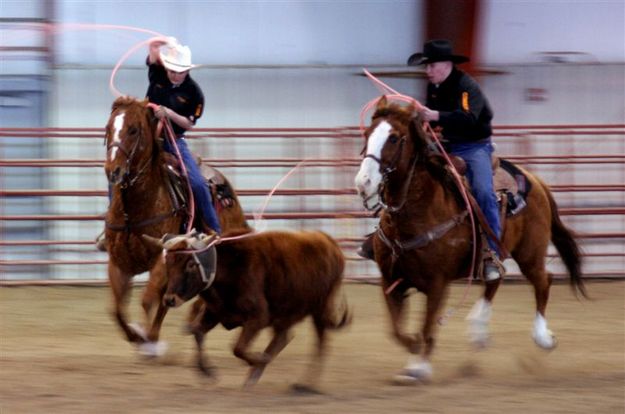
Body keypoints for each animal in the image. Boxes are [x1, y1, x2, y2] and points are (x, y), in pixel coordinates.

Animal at [103, 97, 247, 356]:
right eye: (108, 129)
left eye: (133, 130)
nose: (113, 171)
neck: (135, 209)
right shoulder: (119, 263)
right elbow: (117, 310)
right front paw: (138, 336)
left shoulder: (161, 259)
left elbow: (148, 300)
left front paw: (147, 340)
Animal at [354, 96, 588, 382]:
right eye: (367, 134)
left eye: (395, 138)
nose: (363, 182)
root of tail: (536, 181)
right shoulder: (390, 281)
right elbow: (397, 331)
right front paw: (412, 360)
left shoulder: (437, 283)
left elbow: (426, 325)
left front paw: (419, 366)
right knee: (494, 279)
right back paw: (478, 330)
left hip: (530, 253)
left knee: (544, 281)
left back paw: (542, 337)